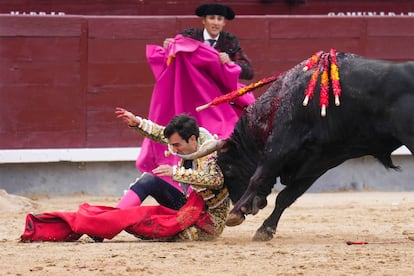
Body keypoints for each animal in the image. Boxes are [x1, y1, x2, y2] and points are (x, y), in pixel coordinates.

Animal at [215, 52, 412, 240]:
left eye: (229, 171)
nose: (253, 207)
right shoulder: (317, 163)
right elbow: (287, 196)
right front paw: (266, 229)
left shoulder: (280, 146)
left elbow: (258, 178)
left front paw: (234, 213)